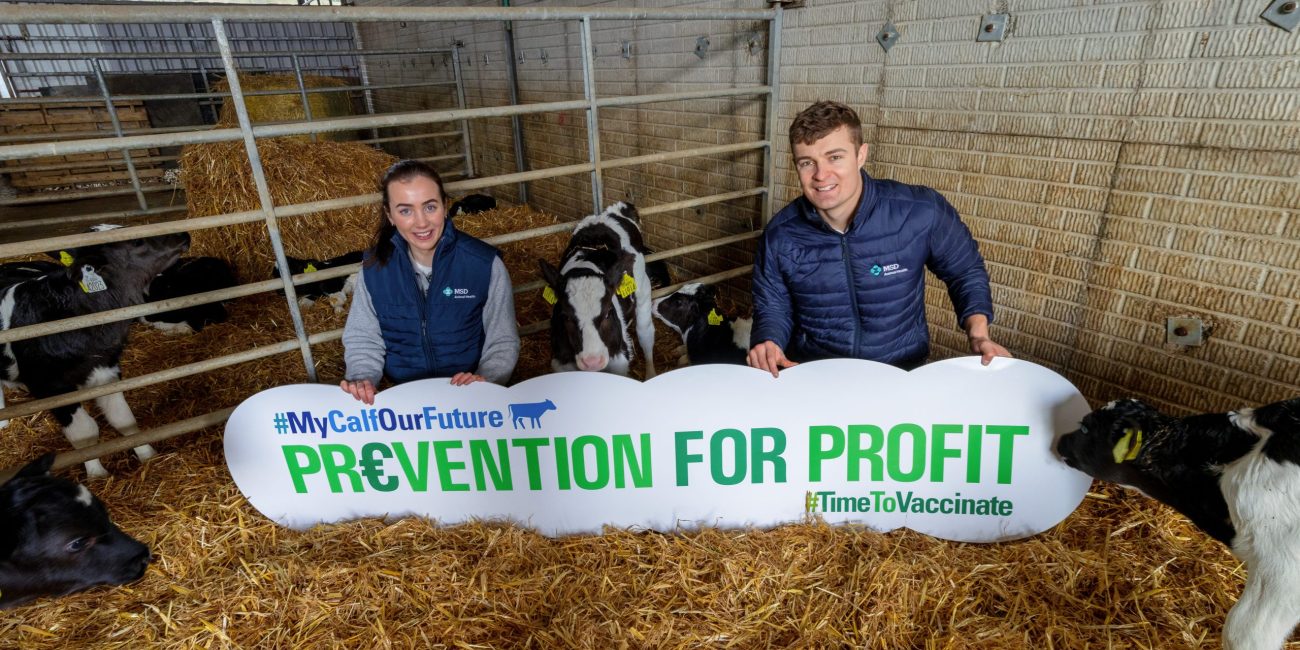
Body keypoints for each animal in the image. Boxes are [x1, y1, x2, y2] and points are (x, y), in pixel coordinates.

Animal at [0, 228, 191, 478]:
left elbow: (123, 419)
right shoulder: (51, 389)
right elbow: (85, 433)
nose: (184, 234)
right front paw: (96, 473)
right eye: (136, 241)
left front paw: (147, 455)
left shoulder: (105, 370)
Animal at [535, 200, 655, 379]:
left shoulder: (619, 359)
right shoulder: (560, 363)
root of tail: (613, 212)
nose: (592, 362)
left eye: (607, 313)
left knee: (645, 333)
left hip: (643, 290)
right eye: (566, 316)